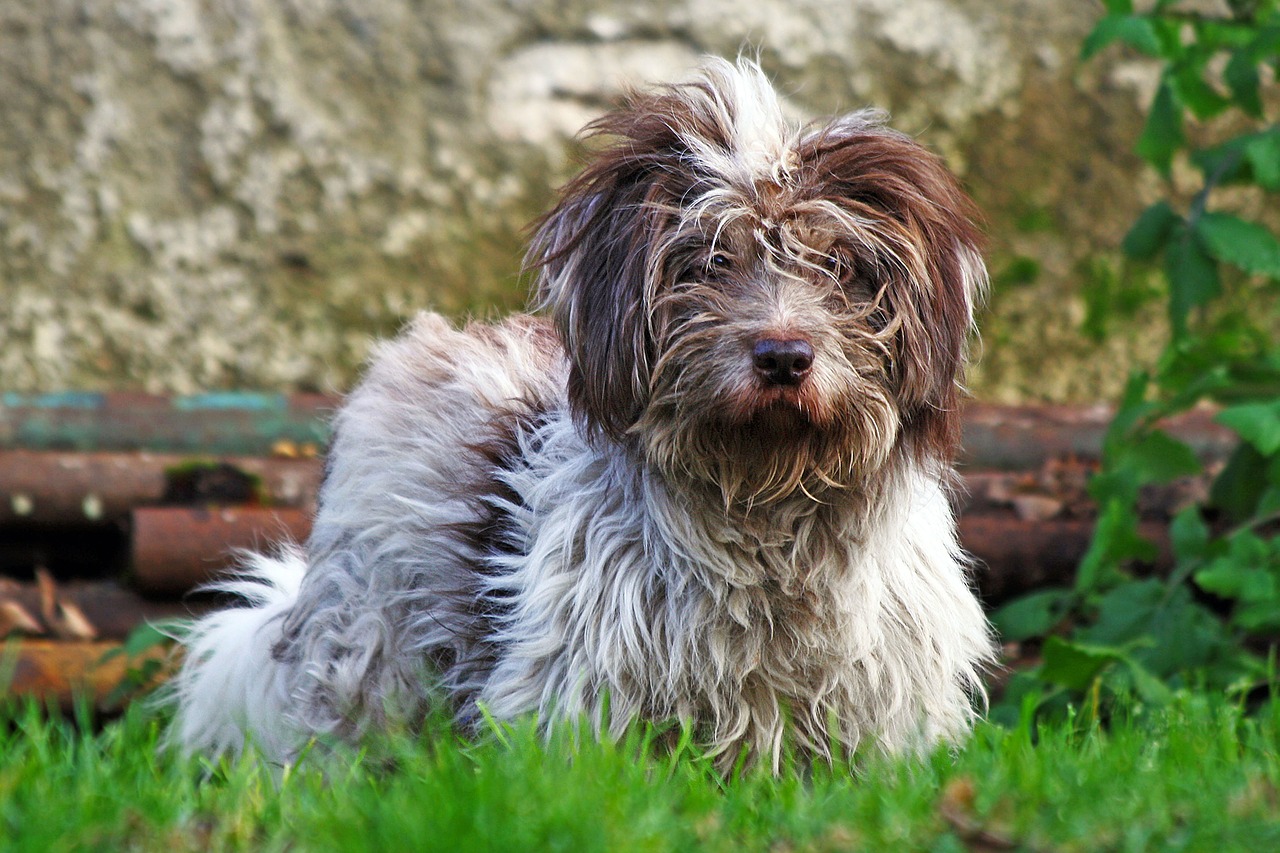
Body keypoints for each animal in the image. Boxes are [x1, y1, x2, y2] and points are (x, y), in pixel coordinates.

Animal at [167, 56, 988, 768]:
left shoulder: (886, 713)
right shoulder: (579, 696)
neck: (766, 515)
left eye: (839, 265)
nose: (784, 357)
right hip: (369, 647)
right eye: (710, 261)